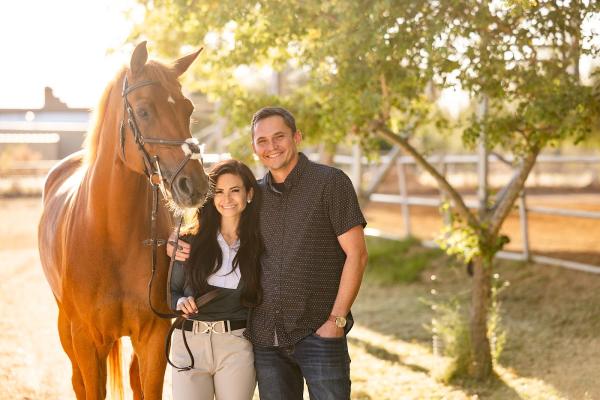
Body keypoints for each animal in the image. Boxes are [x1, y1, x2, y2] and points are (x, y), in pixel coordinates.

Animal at [38, 42, 211, 398]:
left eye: (188, 109)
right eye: (143, 111)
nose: (195, 185)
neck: (110, 234)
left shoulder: (154, 337)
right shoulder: (87, 341)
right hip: (66, 330)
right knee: (76, 381)